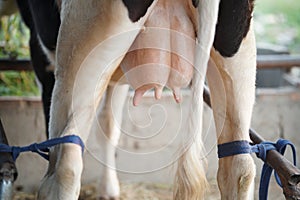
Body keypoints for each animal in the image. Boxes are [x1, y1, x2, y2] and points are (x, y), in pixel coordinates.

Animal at [16, 0, 255, 200]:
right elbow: (109, 125)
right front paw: (109, 189)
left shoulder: (41, 54)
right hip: (235, 47)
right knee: (239, 166)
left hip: (81, 39)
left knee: (64, 164)